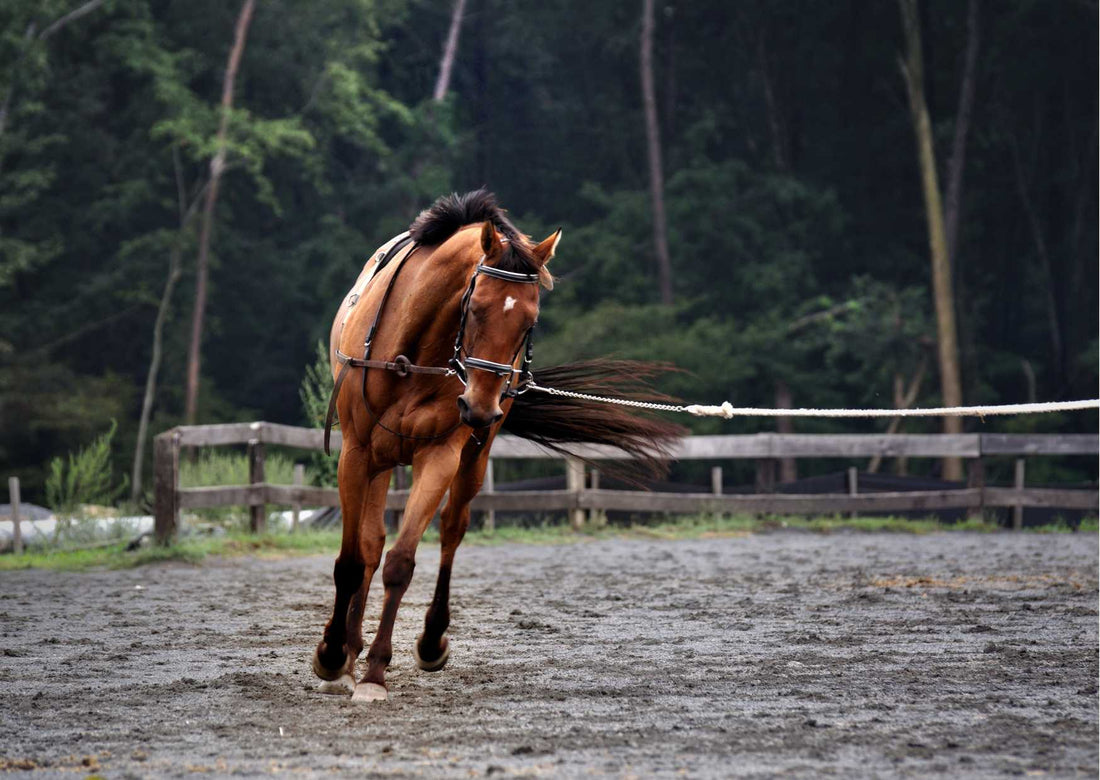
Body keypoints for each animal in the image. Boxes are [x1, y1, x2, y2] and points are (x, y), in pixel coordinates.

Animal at [312, 191, 677, 704]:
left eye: (530, 321)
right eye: (477, 307)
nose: (482, 406)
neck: (411, 353)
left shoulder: (440, 455)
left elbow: (401, 562)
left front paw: (375, 673)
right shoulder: (357, 452)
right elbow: (350, 560)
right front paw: (332, 655)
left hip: (472, 454)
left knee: (450, 530)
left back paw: (425, 641)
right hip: (380, 459)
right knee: (369, 543)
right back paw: (347, 649)